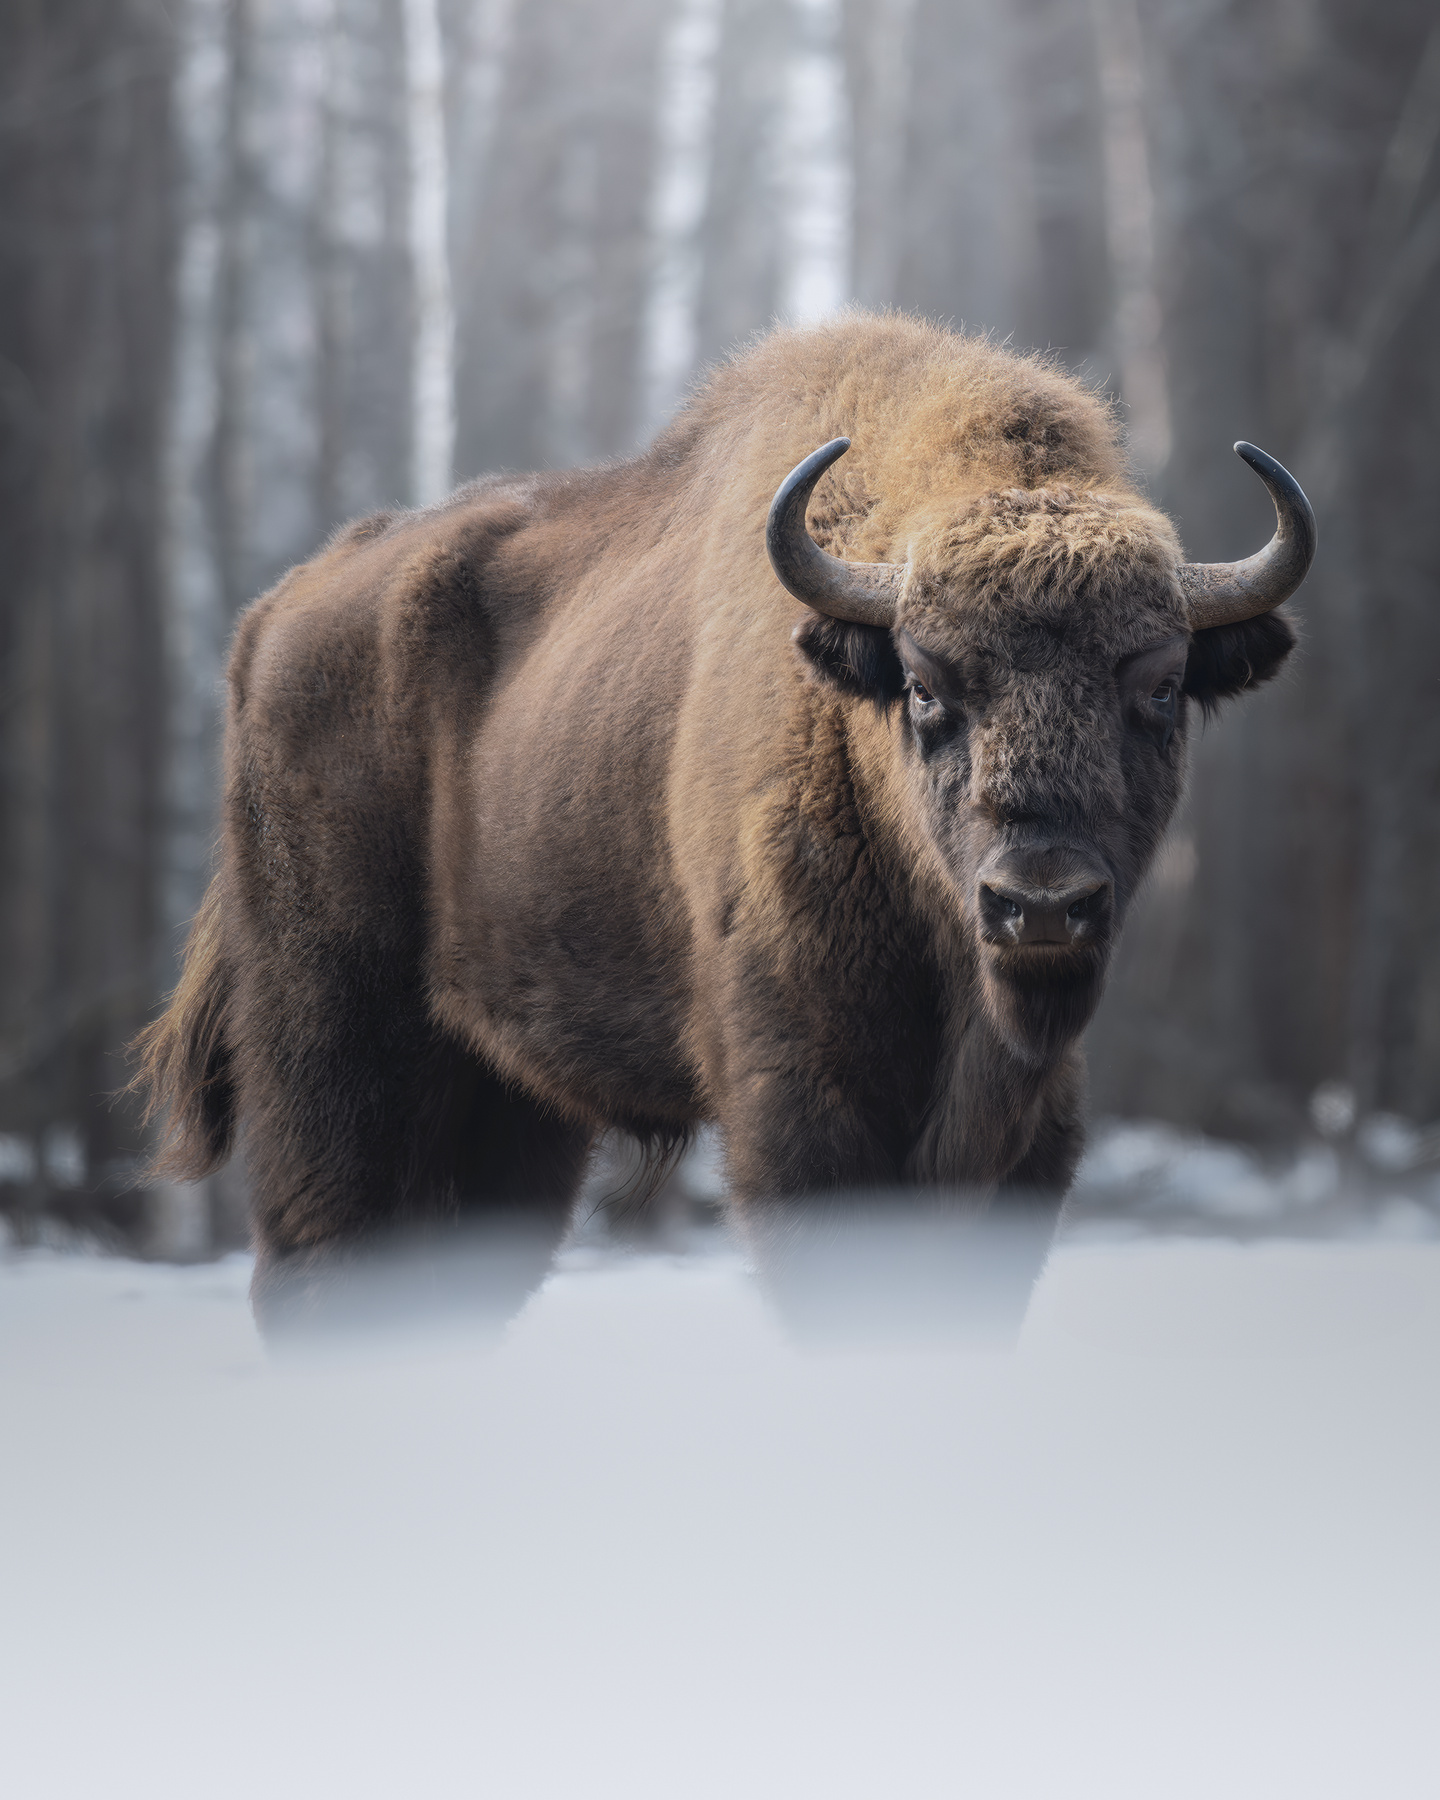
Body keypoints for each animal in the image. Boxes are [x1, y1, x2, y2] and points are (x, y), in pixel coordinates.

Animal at [136, 313, 1314, 1322]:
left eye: (1161, 686)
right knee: (317, 1262)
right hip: (335, 1047)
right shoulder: (804, 1110)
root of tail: (272, 620)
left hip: (508, 1102)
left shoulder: (1028, 1137)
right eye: (925, 685)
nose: (1043, 904)